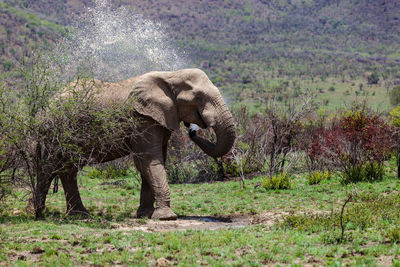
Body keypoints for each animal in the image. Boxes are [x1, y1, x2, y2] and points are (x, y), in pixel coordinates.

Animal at [32, 68, 238, 220]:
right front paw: (166, 217)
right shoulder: (142, 118)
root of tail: (45, 107)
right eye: (199, 98)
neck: (170, 74)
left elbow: (149, 162)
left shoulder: (159, 118)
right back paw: (39, 214)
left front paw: (145, 215)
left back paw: (79, 215)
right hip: (55, 131)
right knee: (50, 168)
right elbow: (150, 159)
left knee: (68, 170)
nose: (191, 129)